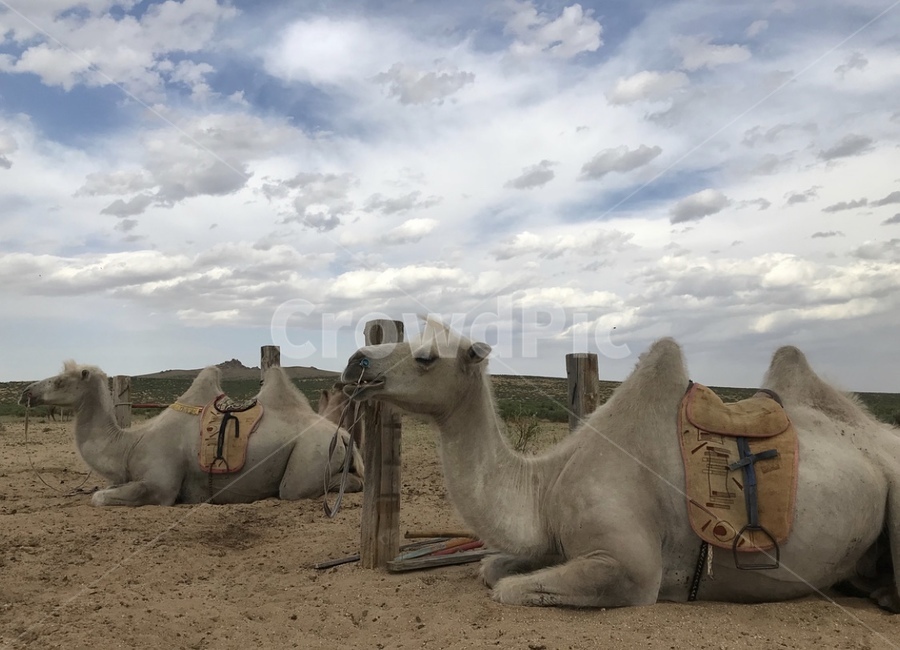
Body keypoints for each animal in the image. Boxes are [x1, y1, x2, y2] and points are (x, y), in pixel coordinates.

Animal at [19, 361, 364, 506]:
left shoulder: (161, 486)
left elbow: (99, 497)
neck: (130, 444)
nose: (26, 392)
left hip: (310, 453)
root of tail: (344, 436)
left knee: (298, 488)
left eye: (60, 381)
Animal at [340, 319, 900, 611]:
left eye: (426, 357)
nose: (355, 363)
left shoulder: (630, 569)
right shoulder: (556, 541)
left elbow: (505, 589)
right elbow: (491, 566)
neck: (545, 485)